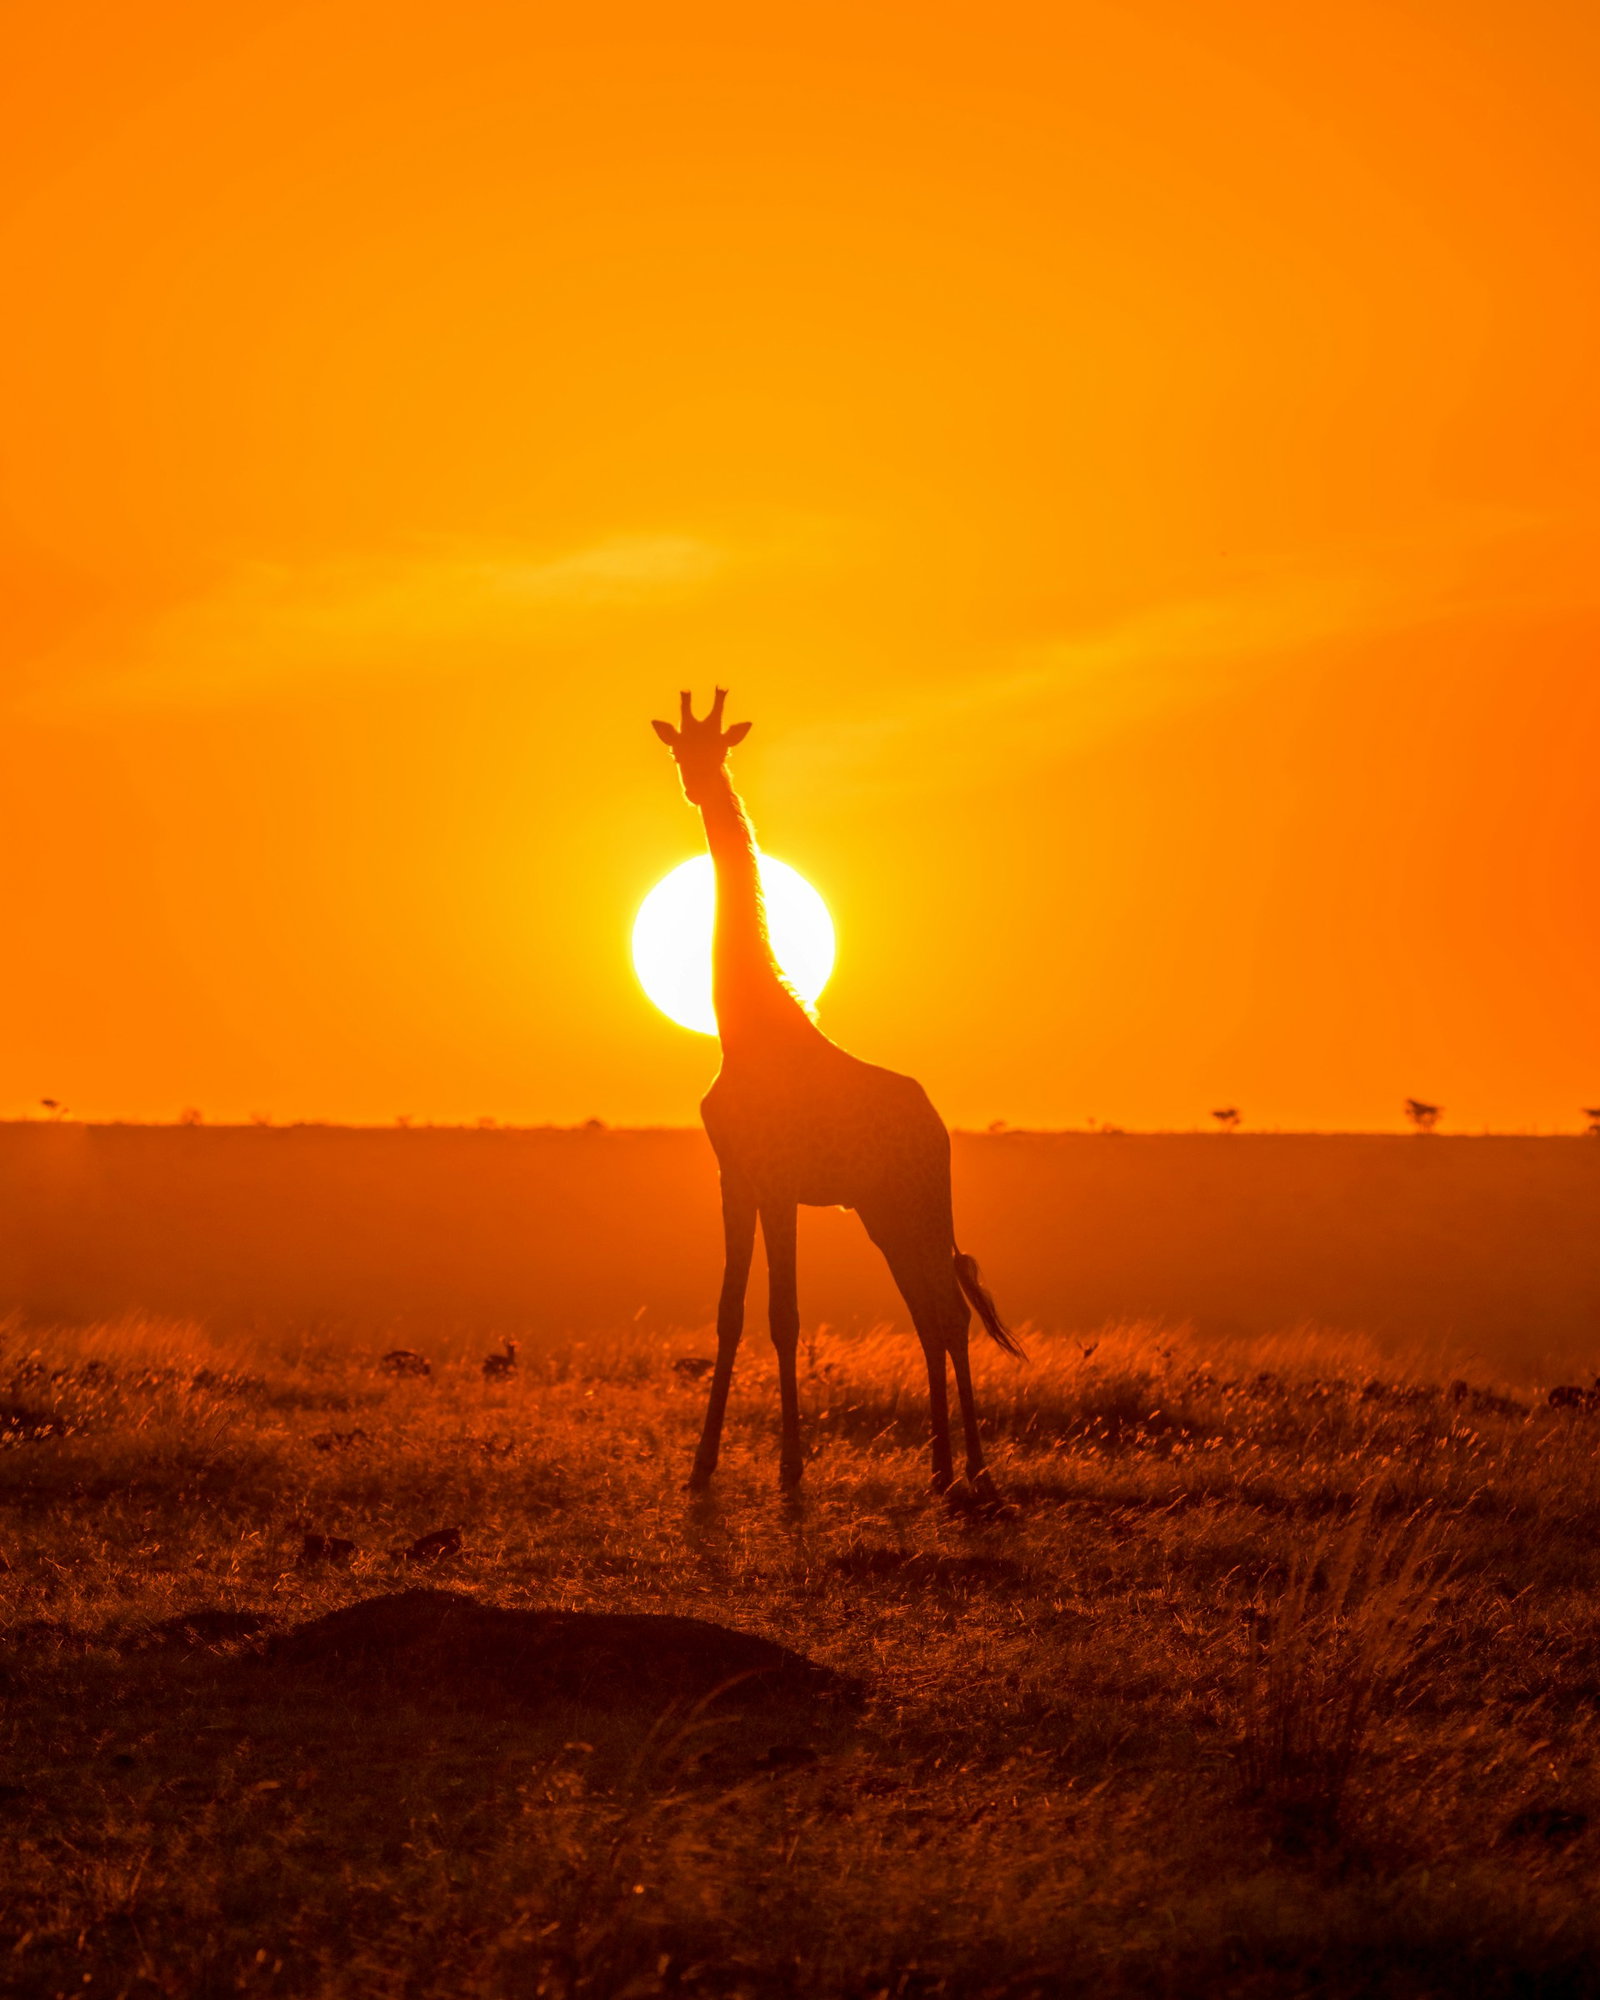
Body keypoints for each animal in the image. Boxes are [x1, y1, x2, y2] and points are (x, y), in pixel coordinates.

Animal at [651, 689, 1024, 1495]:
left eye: (720, 747)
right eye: (677, 748)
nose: (697, 787)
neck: (745, 1029)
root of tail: (937, 1127)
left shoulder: (781, 1186)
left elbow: (784, 1315)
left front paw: (792, 1468)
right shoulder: (736, 1180)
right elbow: (730, 1313)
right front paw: (701, 1468)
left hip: (918, 1204)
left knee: (949, 1313)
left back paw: (975, 1472)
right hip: (883, 1213)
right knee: (930, 1314)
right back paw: (942, 1470)